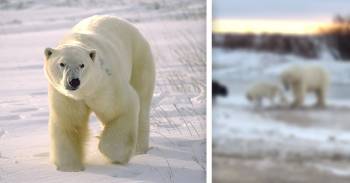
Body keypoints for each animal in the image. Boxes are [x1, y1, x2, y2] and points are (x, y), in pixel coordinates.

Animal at [43, 15, 155, 172]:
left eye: (82, 65)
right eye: (62, 64)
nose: (74, 81)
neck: (85, 91)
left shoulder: (105, 86)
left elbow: (122, 109)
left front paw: (113, 154)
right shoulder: (66, 97)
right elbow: (70, 123)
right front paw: (70, 167)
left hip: (139, 59)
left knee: (142, 103)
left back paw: (139, 149)